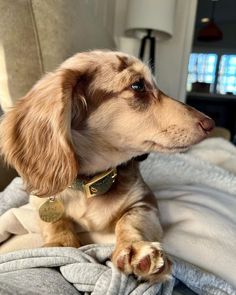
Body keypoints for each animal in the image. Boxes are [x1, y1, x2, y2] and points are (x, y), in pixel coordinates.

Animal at [0, 51, 214, 284]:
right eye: (138, 85)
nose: (210, 124)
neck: (91, 184)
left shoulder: (145, 202)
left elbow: (129, 220)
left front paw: (135, 248)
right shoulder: (38, 201)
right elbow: (53, 221)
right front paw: (61, 244)